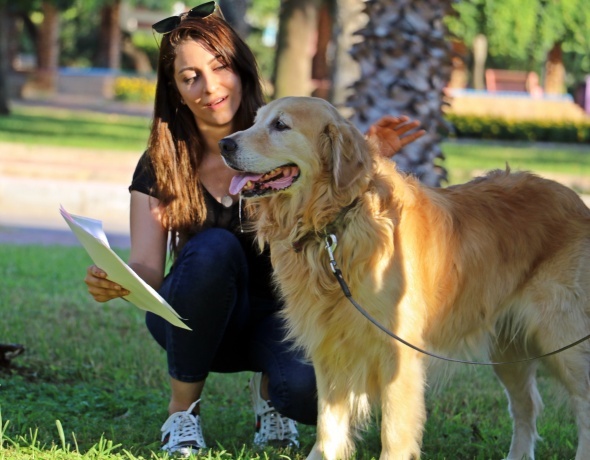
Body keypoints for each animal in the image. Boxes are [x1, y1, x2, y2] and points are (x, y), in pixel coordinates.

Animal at [220, 95, 590, 458]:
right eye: (255, 121)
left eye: (280, 125)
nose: (224, 144)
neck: (337, 223)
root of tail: (576, 200)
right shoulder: (330, 350)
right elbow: (329, 427)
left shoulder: (397, 351)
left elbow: (394, 432)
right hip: (508, 346)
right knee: (526, 406)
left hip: (562, 337)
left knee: (581, 403)